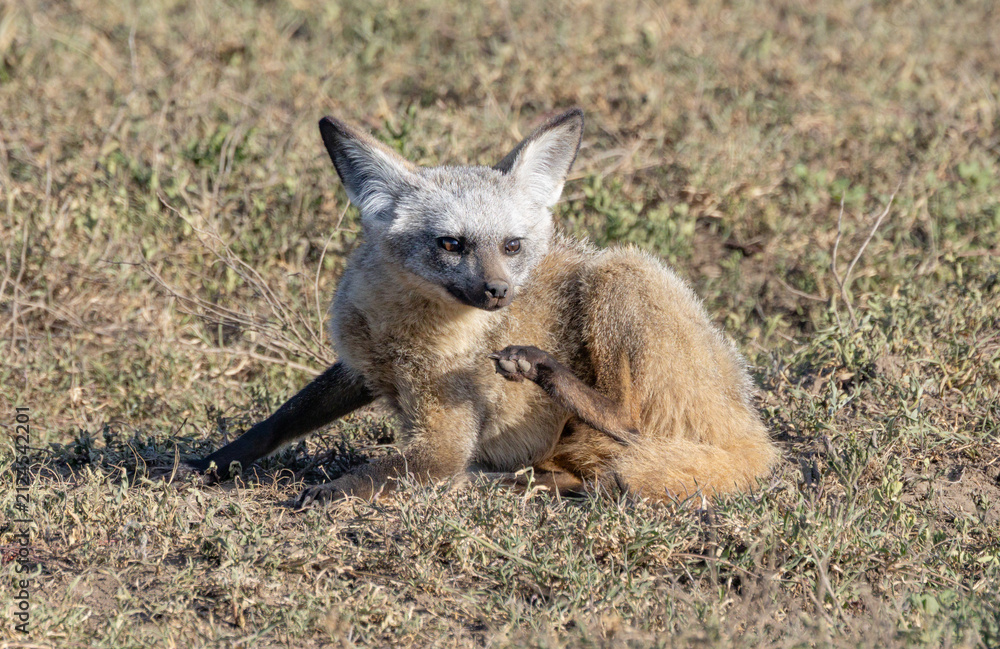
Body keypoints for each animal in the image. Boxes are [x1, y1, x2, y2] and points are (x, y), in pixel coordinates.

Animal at [187, 108, 778, 505]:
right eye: (451, 244)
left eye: (512, 246)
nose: (498, 292)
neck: (400, 335)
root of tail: (757, 433)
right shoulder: (358, 368)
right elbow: (279, 421)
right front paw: (211, 462)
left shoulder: (442, 441)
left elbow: (375, 472)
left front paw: (326, 492)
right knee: (580, 472)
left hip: (622, 272)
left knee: (632, 425)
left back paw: (541, 378)